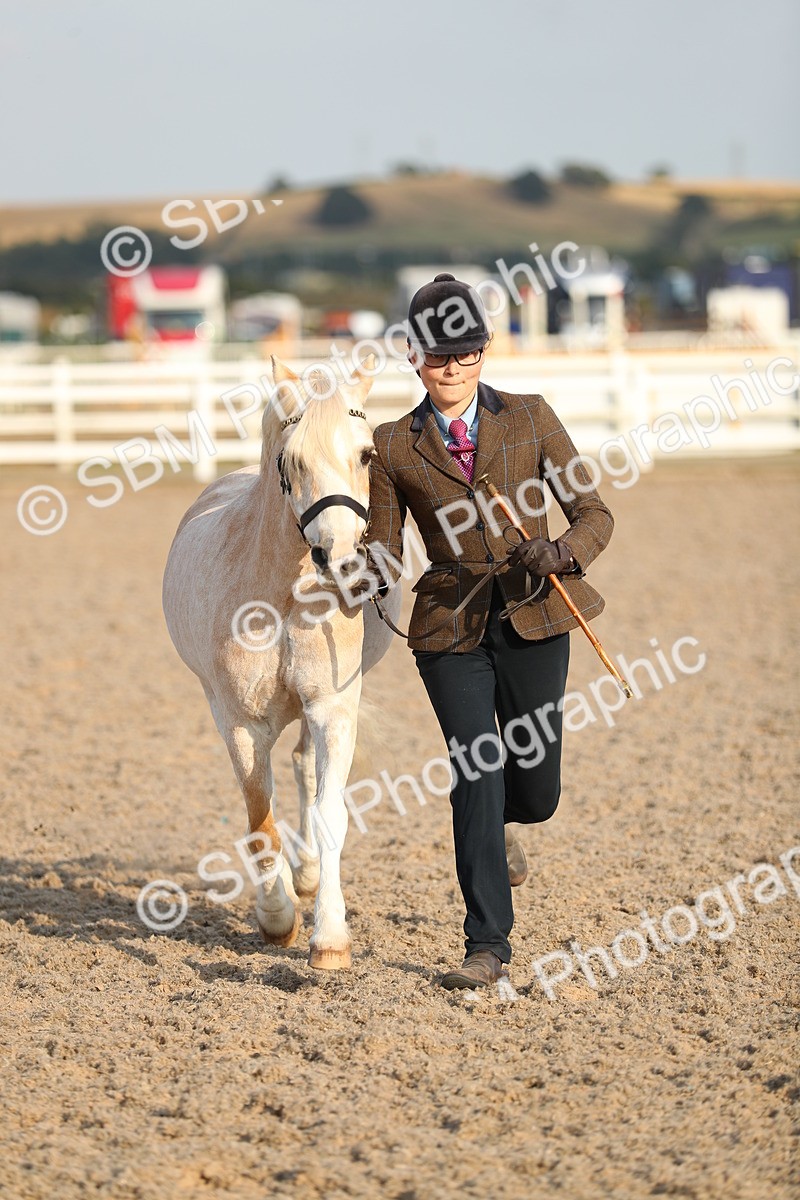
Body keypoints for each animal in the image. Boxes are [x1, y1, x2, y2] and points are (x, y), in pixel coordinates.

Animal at [162, 356, 402, 969]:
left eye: (367, 453)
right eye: (291, 461)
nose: (342, 560)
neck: (285, 597)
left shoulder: (333, 710)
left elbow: (330, 814)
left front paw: (330, 937)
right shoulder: (241, 725)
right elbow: (259, 824)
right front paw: (277, 919)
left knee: (304, 770)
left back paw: (311, 876)